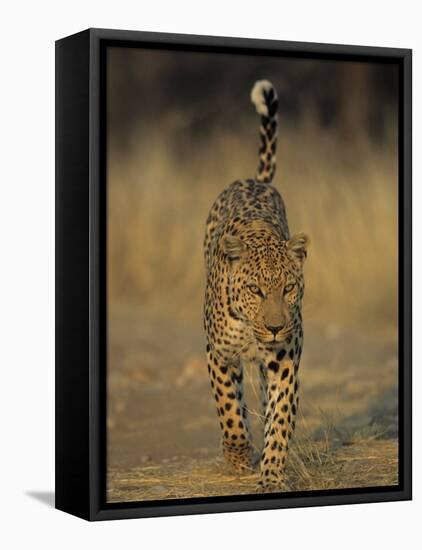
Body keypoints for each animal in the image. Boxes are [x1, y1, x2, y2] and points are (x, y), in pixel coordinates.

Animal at [203, 78, 308, 492]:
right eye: (255, 291)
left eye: (289, 289)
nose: (276, 327)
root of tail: (255, 180)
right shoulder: (219, 353)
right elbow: (229, 409)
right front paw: (236, 458)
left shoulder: (284, 360)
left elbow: (279, 419)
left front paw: (272, 473)